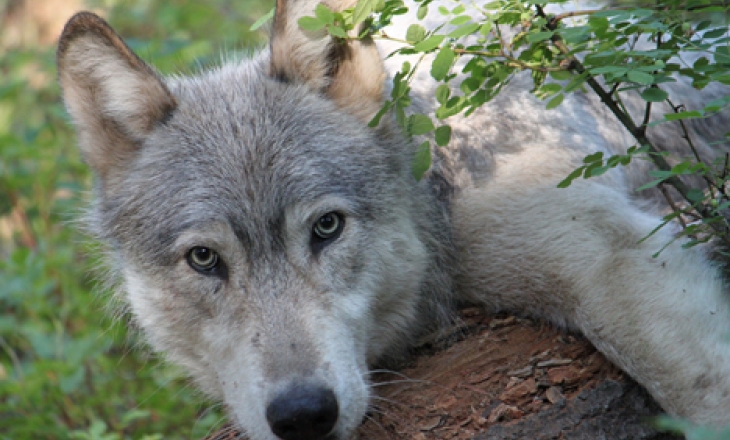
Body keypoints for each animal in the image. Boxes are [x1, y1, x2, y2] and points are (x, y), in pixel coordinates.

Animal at [57, 0, 730, 439]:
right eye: (205, 259)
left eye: (326, 228)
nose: (303, 415)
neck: (436, 170)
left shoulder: (595, 249)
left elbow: (700, 388)